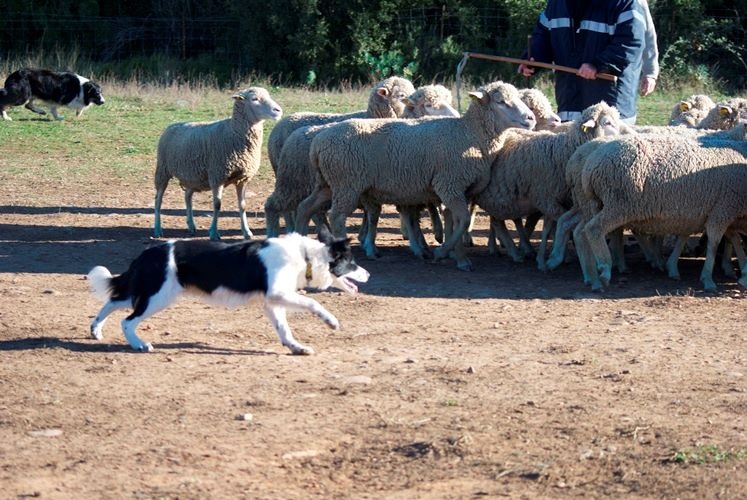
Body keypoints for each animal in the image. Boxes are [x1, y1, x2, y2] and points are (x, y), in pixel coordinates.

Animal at [87, 230, 372, 356]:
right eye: (352, 263)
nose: (368, 275)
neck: (306, 257)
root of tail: (147, 253)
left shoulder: (272, 302)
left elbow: (284, 329)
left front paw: (296, 347)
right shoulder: (277, 294)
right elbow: (313, 303)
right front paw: (331, 321)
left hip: (150, 291)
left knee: (112, 301)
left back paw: (96, 330)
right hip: (158, 296)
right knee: (128, 321)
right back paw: (138, 344)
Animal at [153, 87, 282, 240]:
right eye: (254, 99)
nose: (278, 110)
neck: (233, 132)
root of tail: (172, 125)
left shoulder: (242, 179)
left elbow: (243, 205)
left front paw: (247, 232)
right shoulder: (217, 176)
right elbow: (217, 205)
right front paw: (214, 232)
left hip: (192, 177)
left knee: (187, 197)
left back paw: (191, 225)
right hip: (163, 170)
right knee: (158, 199)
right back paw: (157, 229)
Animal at [294, 82, 536, 272]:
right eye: (501, 101)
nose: (531, 118)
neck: (469, 134)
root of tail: (318, 142)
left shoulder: (458, 190)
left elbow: (456, 221)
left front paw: (454, 255)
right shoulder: (449, 184)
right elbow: (463, 220)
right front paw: (448, 254)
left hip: (327, 184)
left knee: (305, 207)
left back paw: (298, 243)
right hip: (347, 184)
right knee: (336, 216)